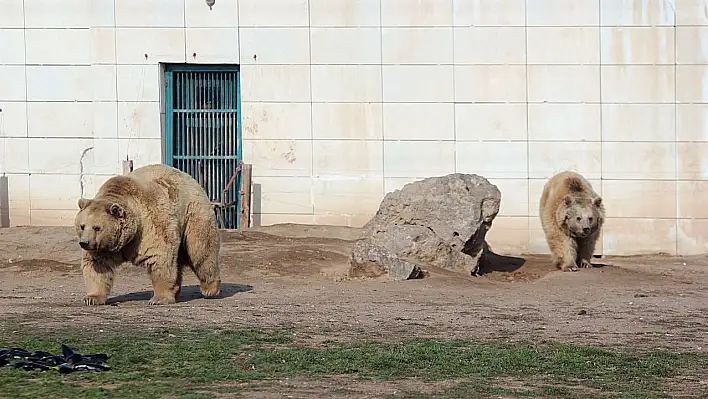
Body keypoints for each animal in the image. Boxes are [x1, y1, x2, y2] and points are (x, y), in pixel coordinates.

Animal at [74, 162, 221, 306]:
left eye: (97, 227)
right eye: (82, 226)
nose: (84, 243)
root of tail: (190, 178)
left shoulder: (148, 227)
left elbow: (159, 257)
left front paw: (158, 298)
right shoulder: (103, 247)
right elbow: (98, 265)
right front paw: (92, 298)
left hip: (193, 214)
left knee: (200, 251)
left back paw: (210, 289)